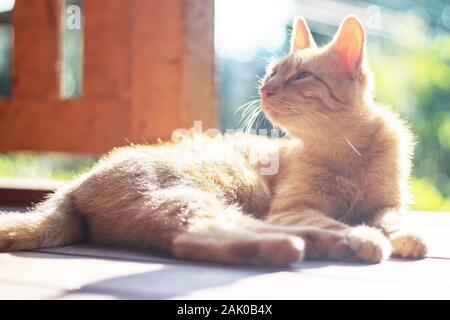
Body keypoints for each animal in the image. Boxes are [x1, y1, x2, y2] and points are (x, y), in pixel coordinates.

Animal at [0, 16, 428, 264]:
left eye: (301, 76)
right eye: (272, 73)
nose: (265, 89)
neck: (349, 150)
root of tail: (73, 185)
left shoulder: (386, 203)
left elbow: (393, 218)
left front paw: (407, 236)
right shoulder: (293, 207)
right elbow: (332, 219)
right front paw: (364, 234)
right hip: (194, 195)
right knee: (197, 235)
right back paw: (311, 245)